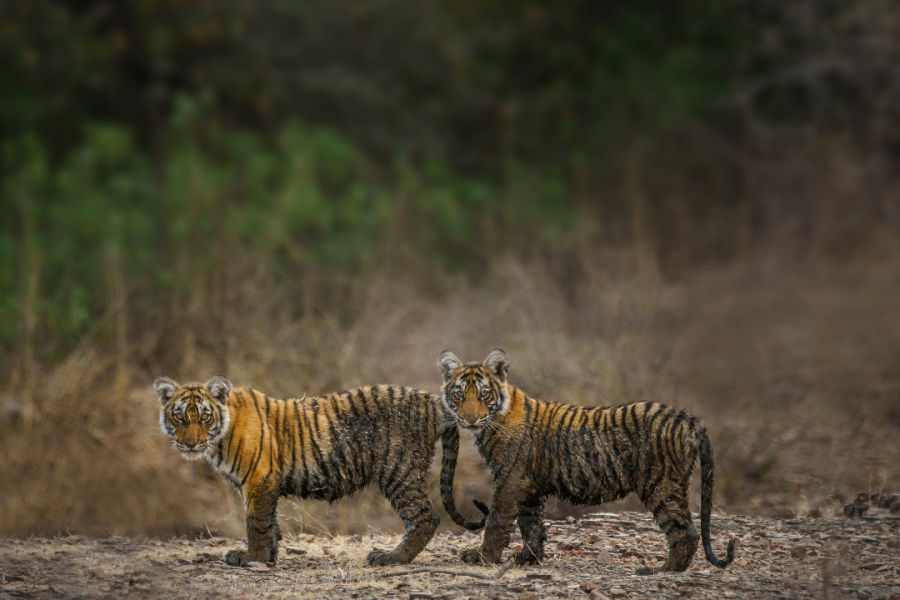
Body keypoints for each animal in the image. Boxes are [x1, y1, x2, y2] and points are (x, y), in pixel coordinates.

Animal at [155, 376, 487, 567]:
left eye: (204, 417)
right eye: (179, 416)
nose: (190, 443)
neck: (219, 438)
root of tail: (433, 401)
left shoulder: (259, 479)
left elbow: (256, 522)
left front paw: (253, 558)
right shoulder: (262, 484)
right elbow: (270, 521)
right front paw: (269, 556)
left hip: (399, 470)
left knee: (425, 517)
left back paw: (391, 558)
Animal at [437, 349, 737, 574]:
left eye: (484, 394)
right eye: (459, 394)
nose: (470, 419)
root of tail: (688, 419)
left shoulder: (511, 479)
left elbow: (497, 520)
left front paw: (484, 557)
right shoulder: (528, 485)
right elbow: (530, 524)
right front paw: (526, 559)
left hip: (660, 484)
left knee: (685, 531)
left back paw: (660, 570)